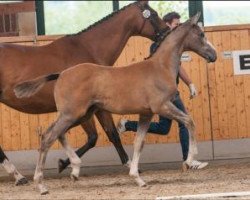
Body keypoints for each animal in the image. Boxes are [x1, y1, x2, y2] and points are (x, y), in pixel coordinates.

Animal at [0, 0, 168, 186]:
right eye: (154, 14)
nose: (167, 31)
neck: (89, 50)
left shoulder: (93, 107)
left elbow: (98, 136)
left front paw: (65, 164)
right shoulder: (90, 108)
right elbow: (106, 135)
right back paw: (18, 176)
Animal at [14, 12, 217, 194]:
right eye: (201, 34)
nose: (213, 55)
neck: (160, 67)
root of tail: (61, 74)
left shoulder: (146, 113)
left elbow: (138, 143)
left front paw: (138, 179)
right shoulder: (162, 106)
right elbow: (189, 121)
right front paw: (189, 161)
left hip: (81, 114)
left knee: (57, 134)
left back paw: (74, 169)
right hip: (72, 114)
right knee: (48, 137)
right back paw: (41, 185)